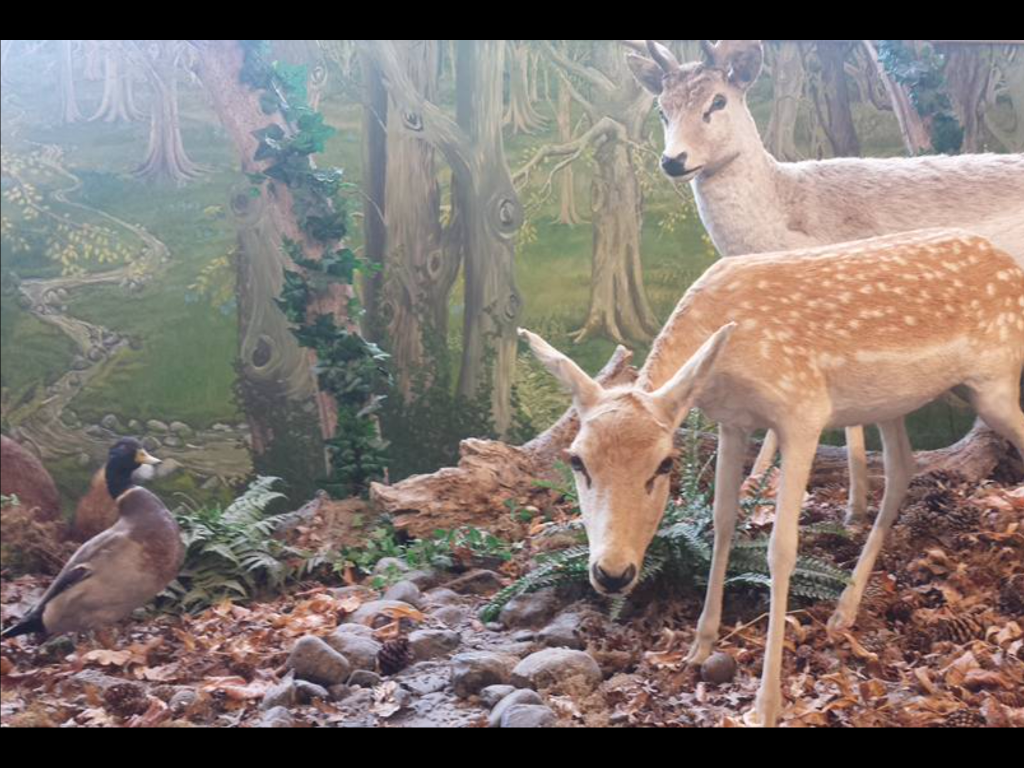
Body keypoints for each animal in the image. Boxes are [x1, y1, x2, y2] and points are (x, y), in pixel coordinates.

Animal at [519, 229, 1024, 727]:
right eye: (576, 460)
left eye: (665, 463)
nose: (612, 573)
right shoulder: (734, 422)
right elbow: (723, 519)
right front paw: (699, 646)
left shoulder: (802, 410)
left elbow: (782, 548)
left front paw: (766, 704)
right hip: (891, 401)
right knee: (902, 466)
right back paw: (844, 611)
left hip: (993, 381)